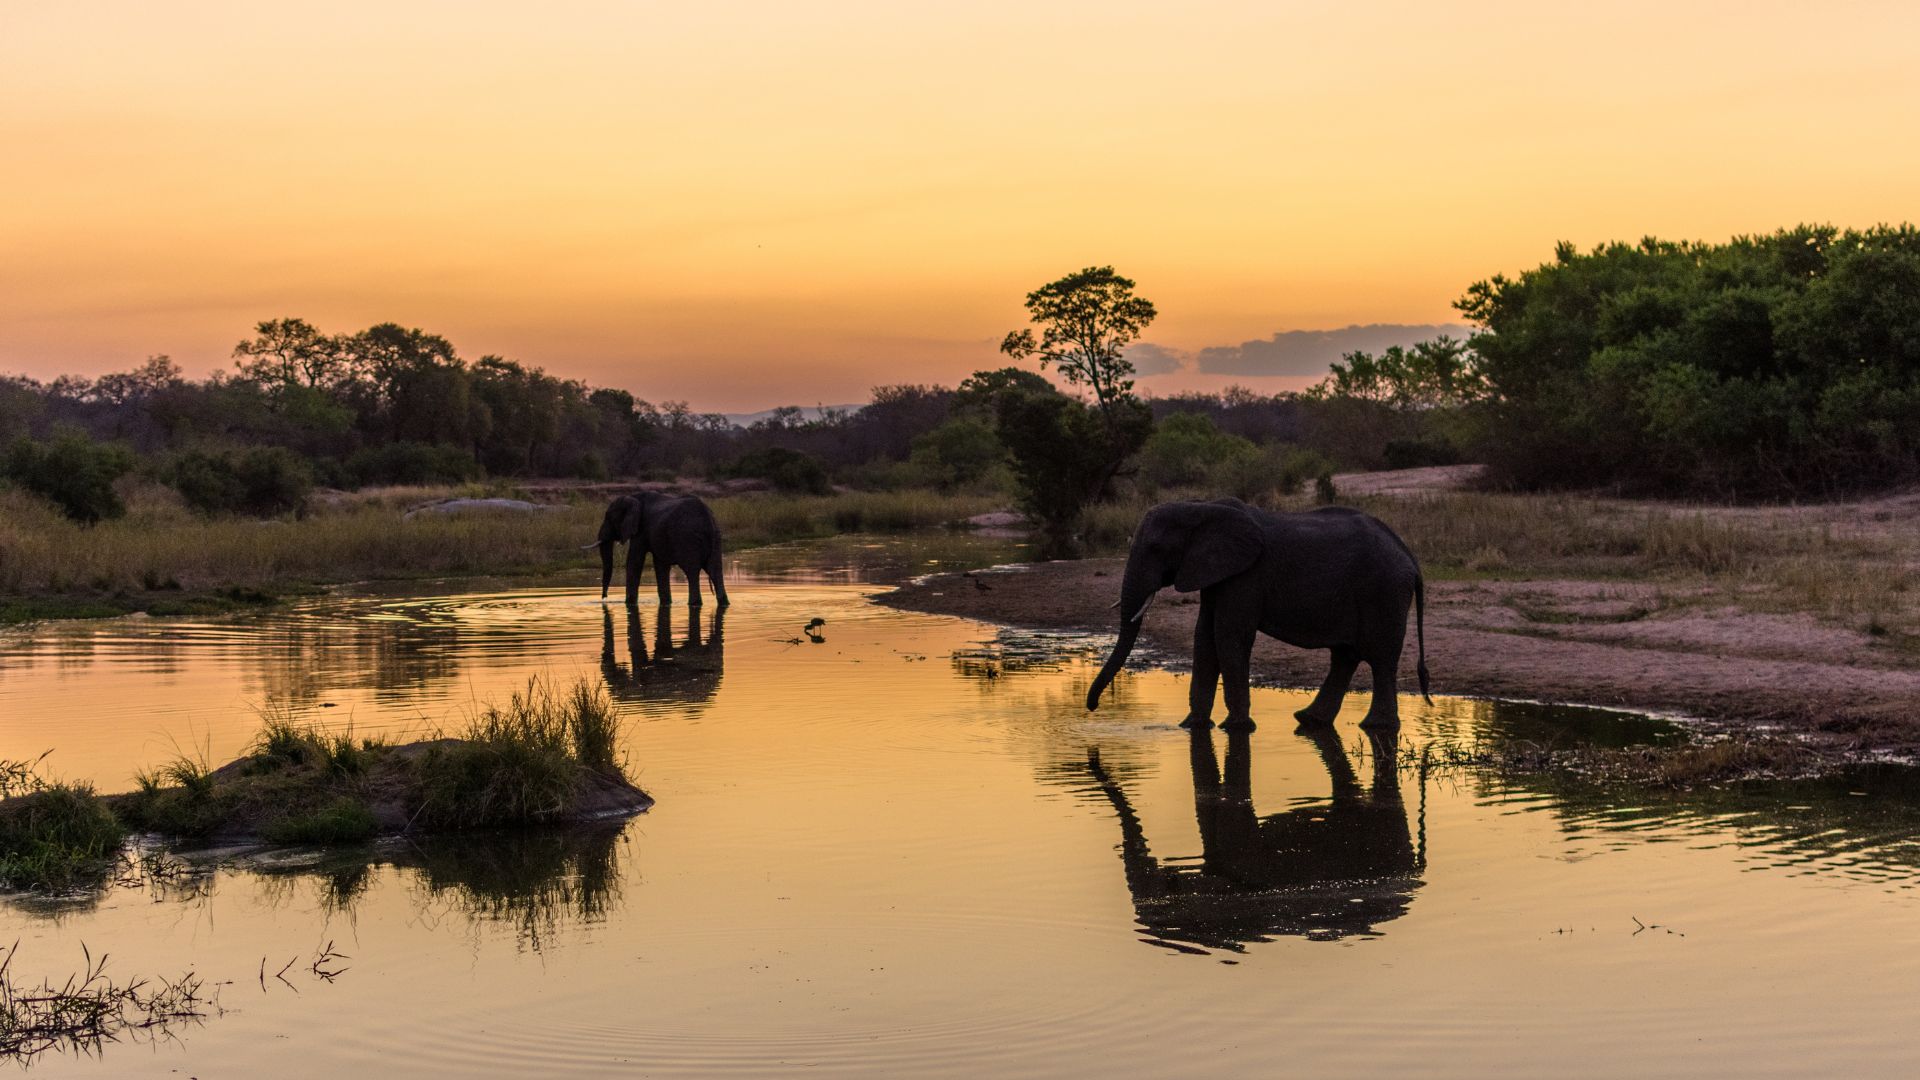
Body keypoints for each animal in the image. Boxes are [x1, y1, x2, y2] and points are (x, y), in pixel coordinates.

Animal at [595, 492, 729, 608]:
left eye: (609, 518)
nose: (604, 597)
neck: (633, 497)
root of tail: (708, 519)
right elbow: (660, 565)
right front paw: (666, 602)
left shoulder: (641, 529)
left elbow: (634, 562)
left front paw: (629, 603)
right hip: (716, 538)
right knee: (715, 570)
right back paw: (724, 602)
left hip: (688, 539)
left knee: (692, 571)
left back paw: (694, 603)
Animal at [1085, 499, 1429, 732]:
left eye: (1156, 548)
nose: (1092, 708)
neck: (1202, 507)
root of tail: (1410, 556)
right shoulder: (1215, 572)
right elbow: (1204, 637)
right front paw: (1192, 727)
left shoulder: (1247, 575)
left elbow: (1228, 635)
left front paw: (1236, 728)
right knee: (1346, 657)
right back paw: (1309, 720)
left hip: (1383, 591)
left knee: (1380, 658)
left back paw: (1375, 727)